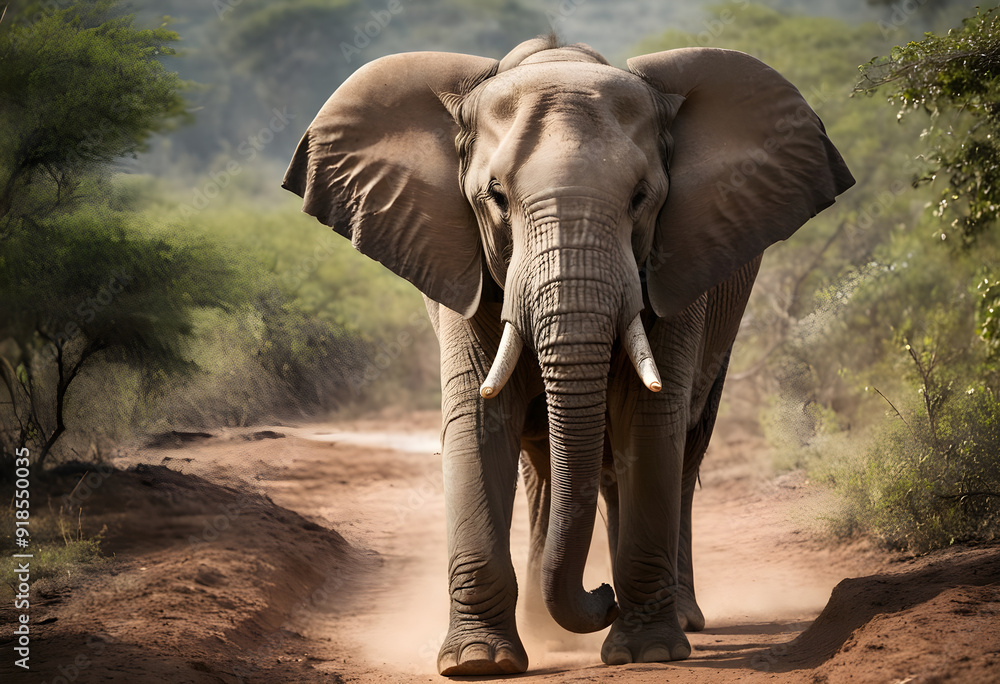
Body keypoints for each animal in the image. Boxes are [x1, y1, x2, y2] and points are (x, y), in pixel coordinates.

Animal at [282, 36, 854, 676]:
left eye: (641, 198)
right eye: (495, 197)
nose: (599, 597)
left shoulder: (677, 264)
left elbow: (649, 418)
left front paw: (647, 652)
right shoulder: (462, 265)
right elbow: (479, 419)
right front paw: (478, 663)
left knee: (680, 448)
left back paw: (676, 619)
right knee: (547, 465)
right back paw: (547, 628)